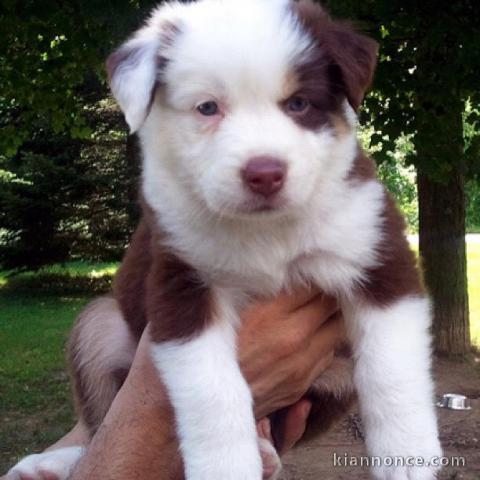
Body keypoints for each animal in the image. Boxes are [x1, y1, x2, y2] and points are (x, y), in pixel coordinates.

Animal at [8, 0, 442, 480]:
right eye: (207, 107)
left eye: (299, 103)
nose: (265, 173)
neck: (267, 229)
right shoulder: (183, 280)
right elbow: (213, 391)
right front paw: (227, 466)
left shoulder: (377, 254)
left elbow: (391, 370)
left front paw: (407, 456)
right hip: (100, 323)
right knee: (97, 420)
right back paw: (47, 464)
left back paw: (266, 451)